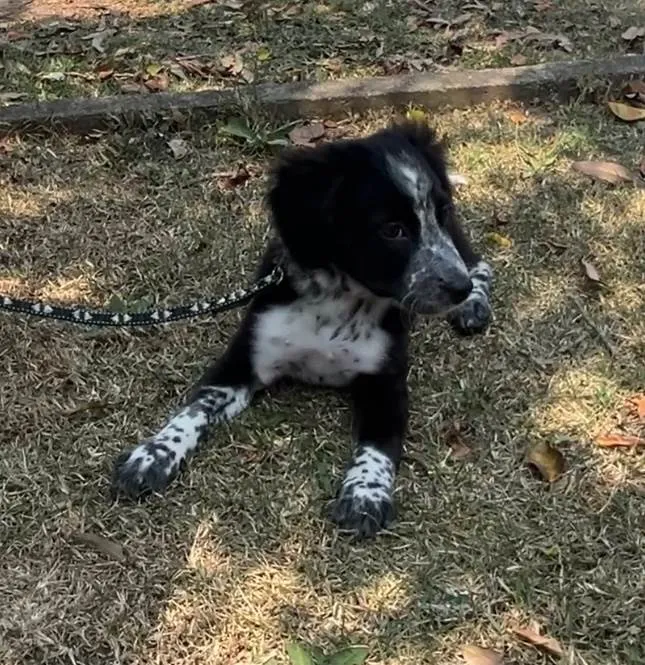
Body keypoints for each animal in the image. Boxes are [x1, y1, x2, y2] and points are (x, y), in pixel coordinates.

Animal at [112, 122, 494, 536]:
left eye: (440, 211)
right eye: (392, 230)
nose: (457, 289)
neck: (341, 303)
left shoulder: (386, 384)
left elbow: (378, 446)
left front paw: (365, 494)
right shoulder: (241, 362)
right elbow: (195, 409)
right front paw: (153, 454)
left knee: (479, 262)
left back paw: (474, 304)